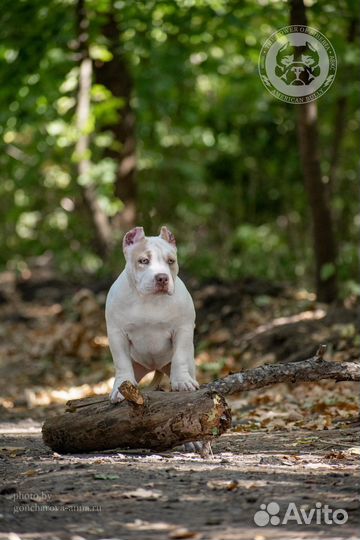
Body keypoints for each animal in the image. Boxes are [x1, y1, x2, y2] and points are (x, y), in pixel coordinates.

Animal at [104, 226, 200, 402]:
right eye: (143, 261)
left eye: (171, 261)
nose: (162, 278)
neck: (149, 300)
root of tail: (155, 367)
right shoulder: (117, 334)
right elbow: (122, 363)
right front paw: (121, 387)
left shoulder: (183, 329)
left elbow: (180, 356)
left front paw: (182, 381)